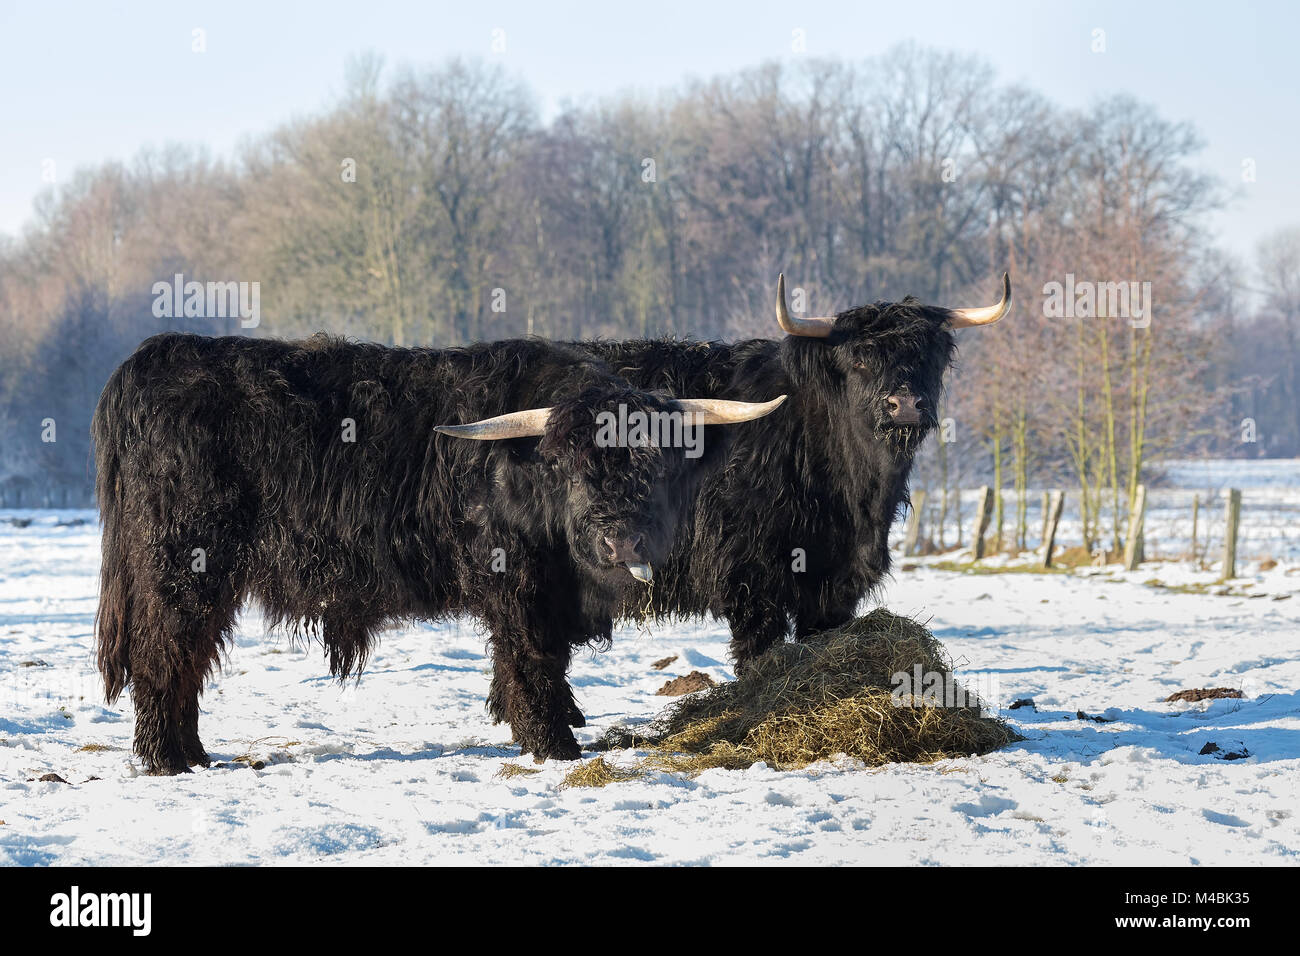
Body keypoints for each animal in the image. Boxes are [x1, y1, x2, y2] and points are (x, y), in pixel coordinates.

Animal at [94, 332, 780, 775]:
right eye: (569, 468)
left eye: (653, 464)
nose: (620, 541)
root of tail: (151, 359)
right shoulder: (517, 586)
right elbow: (532, 660)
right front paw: (554, 745)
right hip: (183, 564)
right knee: (166, 651)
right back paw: (168, 758)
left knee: (186, 655)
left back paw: (190, 753)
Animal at [579, 273, 1013, 671]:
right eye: (859, 359)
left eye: (929, 355)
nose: (904, 404)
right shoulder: (749, 576)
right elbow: (756, 648)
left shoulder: (835, 584)